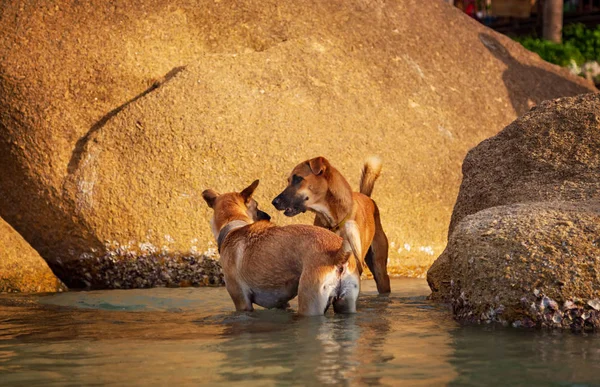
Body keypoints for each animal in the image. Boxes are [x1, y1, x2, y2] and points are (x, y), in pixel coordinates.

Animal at [204, 180, 358, 316]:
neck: (233, 224)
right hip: (346, 305)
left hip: (310, 304)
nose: (268, 216)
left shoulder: (242, 303)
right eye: (257, 206)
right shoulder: (281, 303)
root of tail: (337, 254)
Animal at [270, 158, 392, 294]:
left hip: (379, 268)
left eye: (298, 178)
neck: (333, 221)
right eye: (289, 180)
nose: (274, 202)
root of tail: (367, 197)